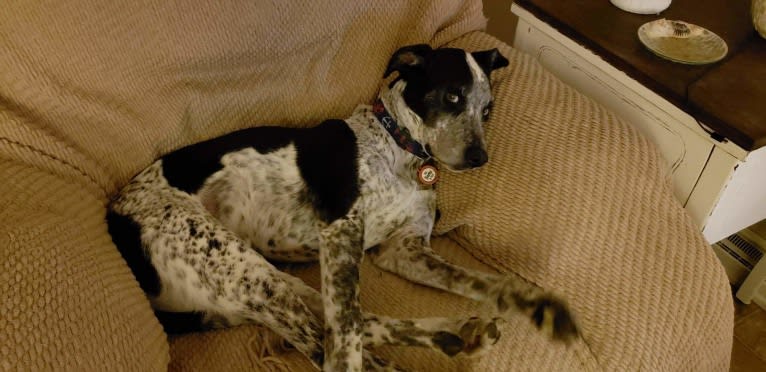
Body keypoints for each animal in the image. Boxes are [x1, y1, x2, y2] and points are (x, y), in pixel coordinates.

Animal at [106, 44, 576, 372]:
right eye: (453, 97)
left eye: (488, 109)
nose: (480, 157)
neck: (399, 149)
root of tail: (116, 216)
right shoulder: (342, 229)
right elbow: (344, 327)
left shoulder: (403, 249)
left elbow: (474, 279)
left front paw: (528, 301)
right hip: (243, 271)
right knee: (326, 340)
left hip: (263, 277)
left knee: (337, 318)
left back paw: (456, 334)